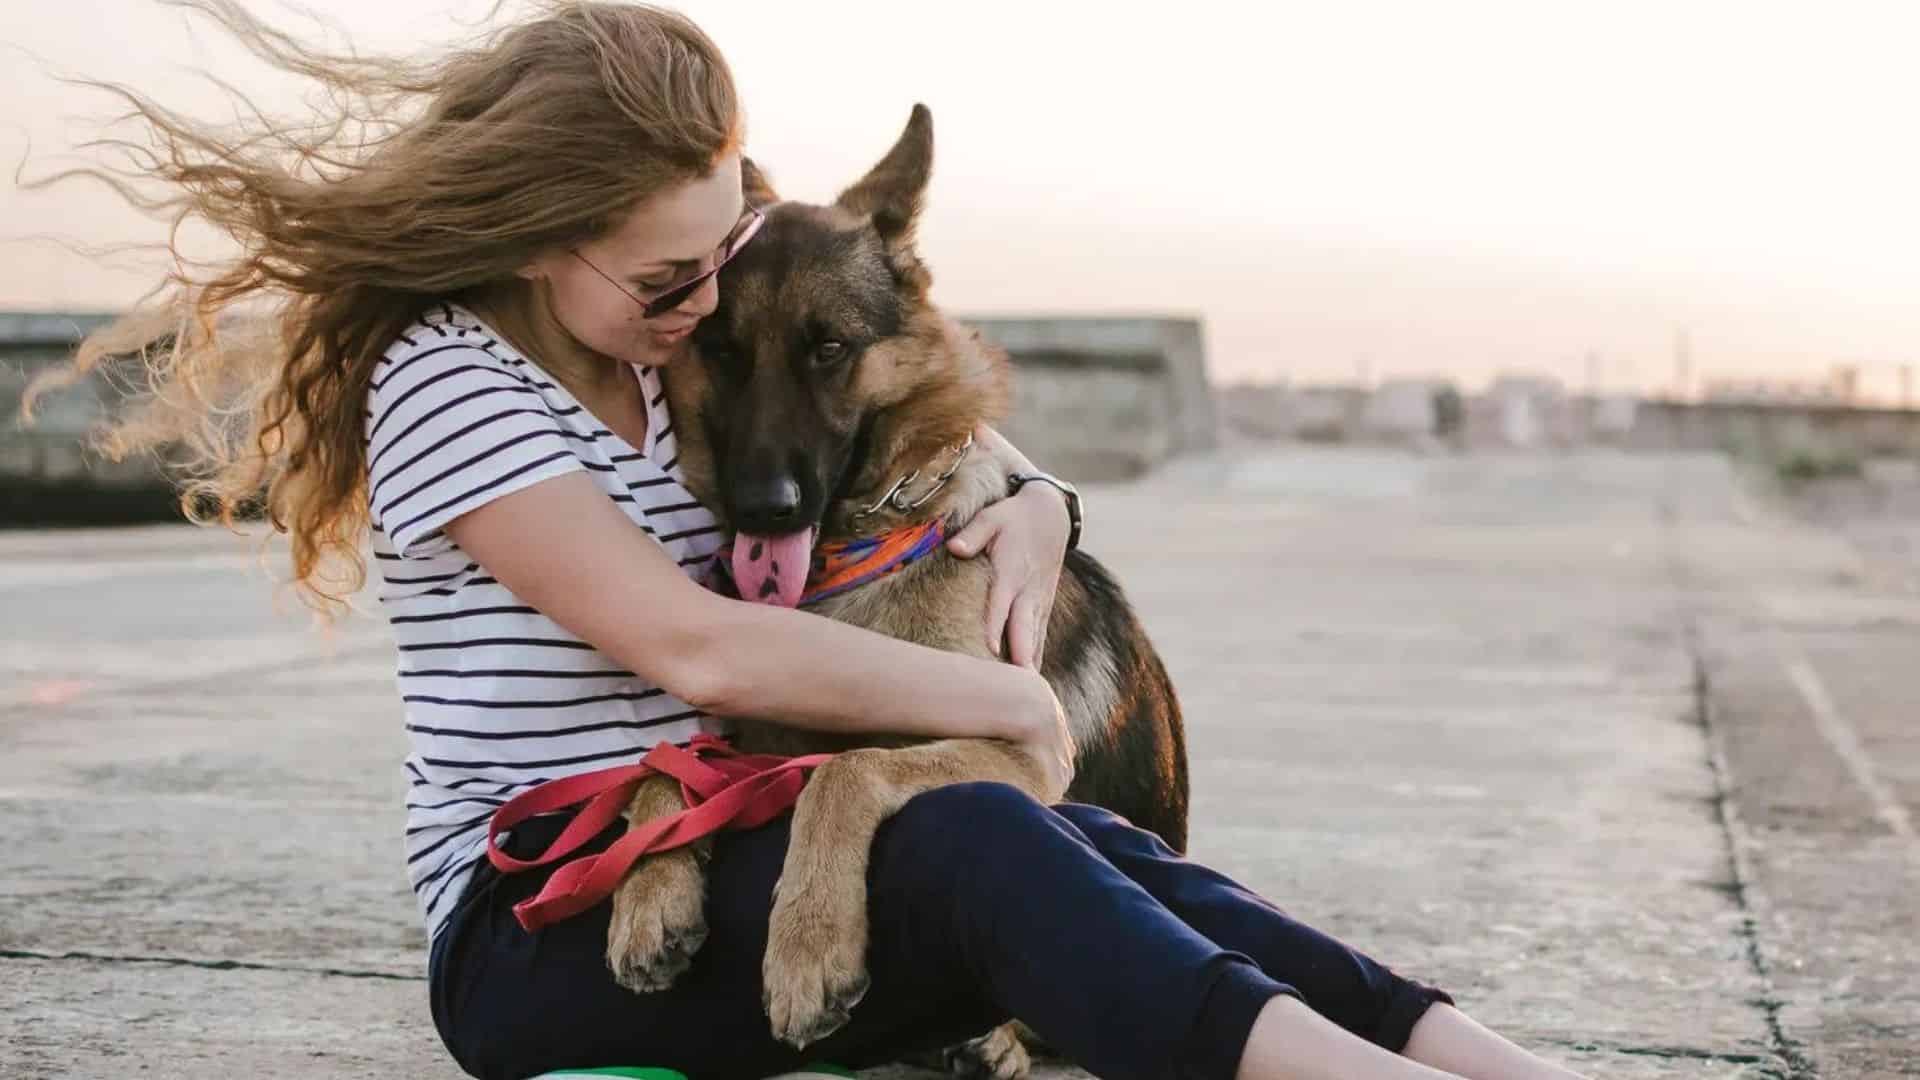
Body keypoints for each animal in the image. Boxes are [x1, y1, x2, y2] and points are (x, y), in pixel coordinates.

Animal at [610, 107, 1182, 1068]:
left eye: (829, 348)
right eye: (721, 351)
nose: (766, 508)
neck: (856, 560)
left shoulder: (1022, 748)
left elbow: (848, 767)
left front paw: (807, 950)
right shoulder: (748, 747)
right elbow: (665, 769)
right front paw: (648, 892)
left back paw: (989, 1042)